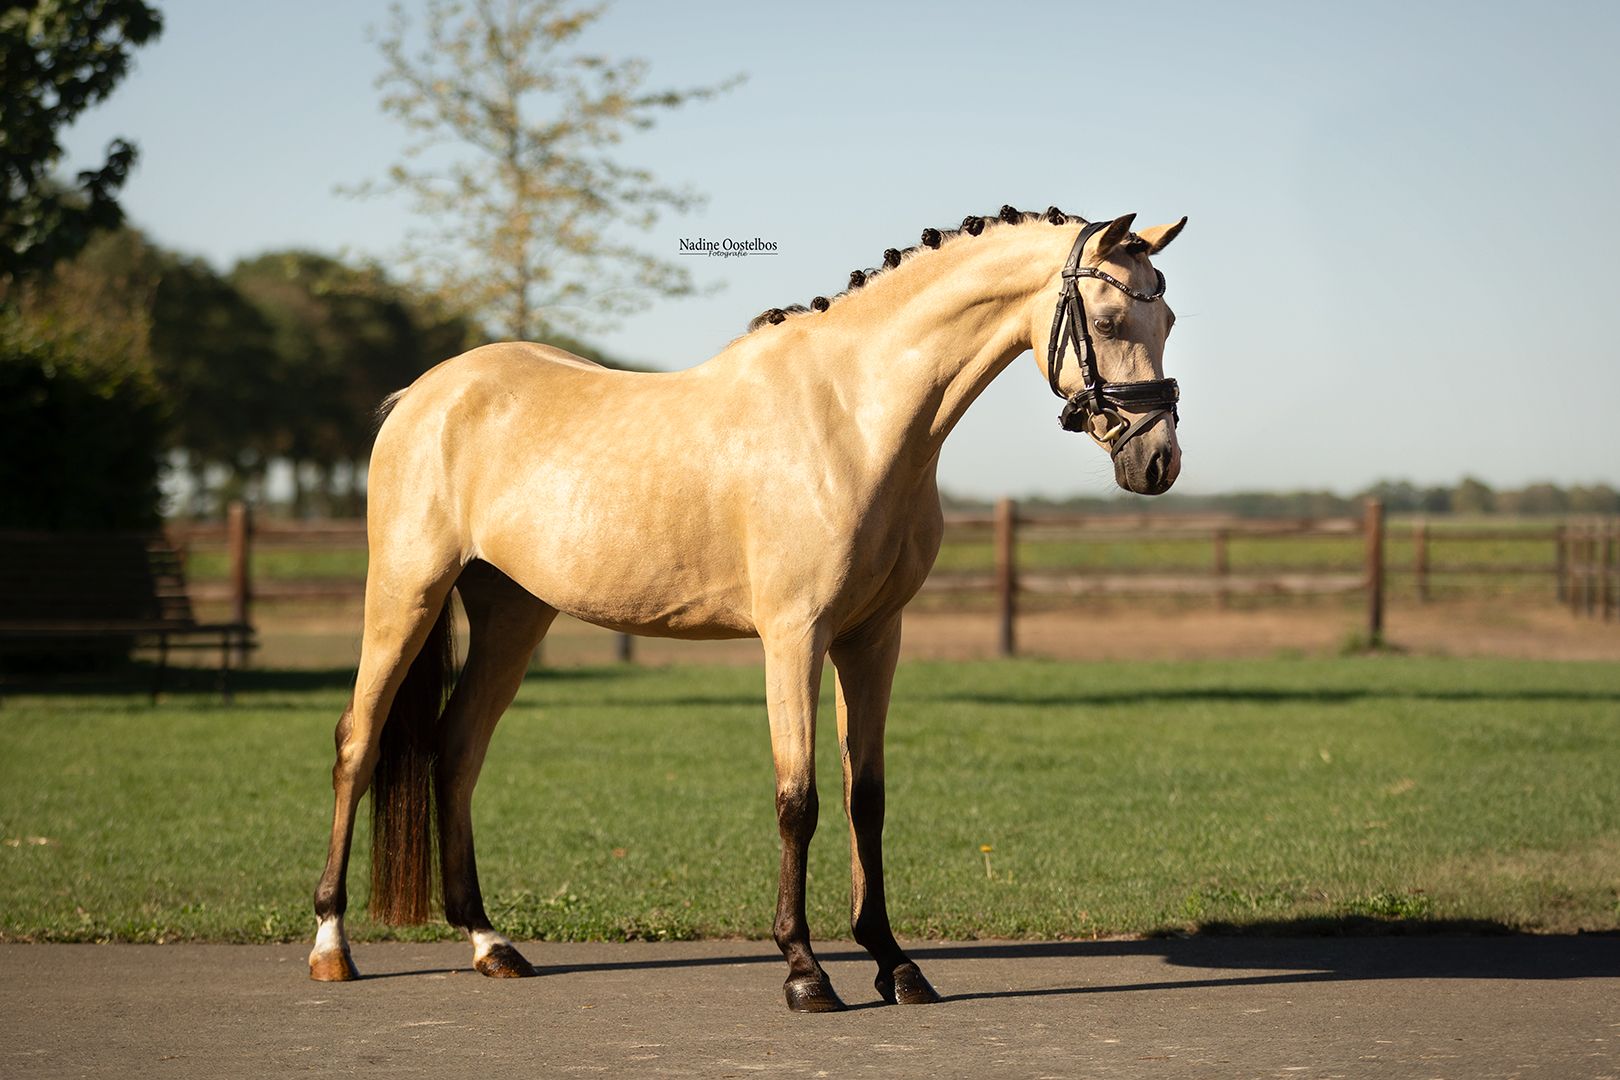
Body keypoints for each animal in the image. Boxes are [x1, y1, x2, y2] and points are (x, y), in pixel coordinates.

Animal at [308, 204, 1188, 1011]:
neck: (854, 419)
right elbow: (798, 800)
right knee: (358, 744)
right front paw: (805, 971)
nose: (1158, 461)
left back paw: (489, 942)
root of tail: (423, 394)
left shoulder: (873, 639)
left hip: (512, 616)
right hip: (405, 593)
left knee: (456, 750)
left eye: (1169, 318)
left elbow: (865, 797)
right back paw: (332, 944)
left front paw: (894, 963)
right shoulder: (794, 638)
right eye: (1109, 318)